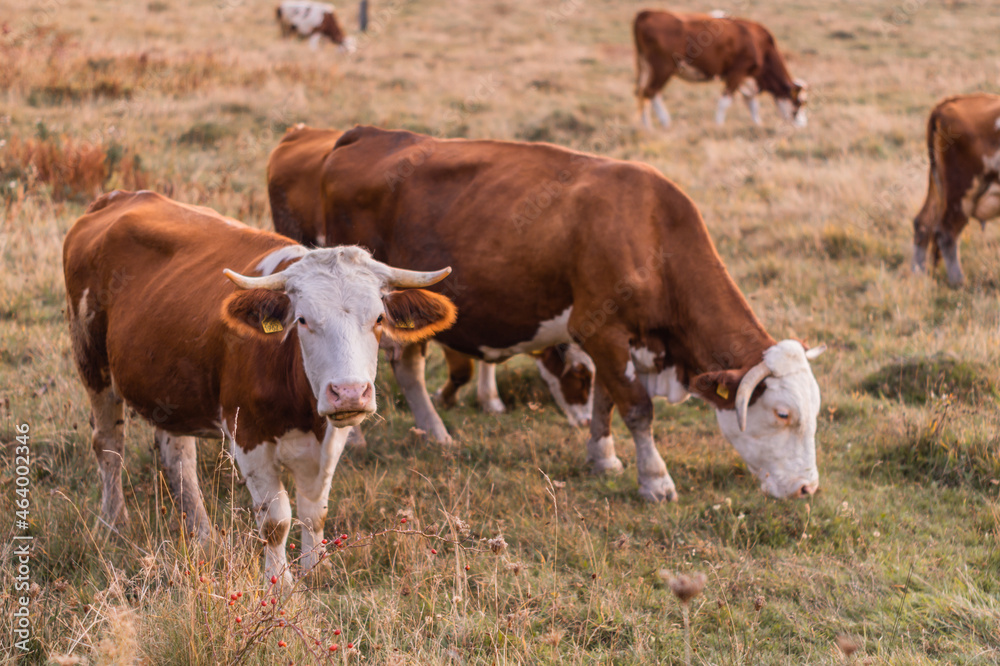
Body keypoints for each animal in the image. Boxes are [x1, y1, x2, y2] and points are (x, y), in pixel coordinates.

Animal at [67, 188, 460, 580]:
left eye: (379, 318)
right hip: (92, 364)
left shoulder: (331, 440)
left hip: (170, 387)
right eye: (302, 320)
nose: (349, 393)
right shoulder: (248, 436)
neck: (303, 409)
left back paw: (202, 535)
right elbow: (276, 521)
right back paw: (113, 523)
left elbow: (314, 512)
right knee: (108, 445)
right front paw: (279, 583)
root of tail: (120, 197)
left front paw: (314, 571)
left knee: (178, 457)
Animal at [636, 9, 808, 127]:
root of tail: (649, 12)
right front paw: (718, 125)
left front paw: (757, 124)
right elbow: (725, 102)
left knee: (642, 93)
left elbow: (752, 105)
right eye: (799, 103)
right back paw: (662, 123)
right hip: (663, 67)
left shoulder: (747, 79)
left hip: (646, 67)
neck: (760, 45)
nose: (802, 125)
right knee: (651, 92)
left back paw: (646, 127)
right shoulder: (737, 73)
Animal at [912, 91, 1000, 286]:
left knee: (923, 223)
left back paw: (919, 275)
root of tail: (947, 104)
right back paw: (959, 282)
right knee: (946, 231)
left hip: (938, 186)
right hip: (961, 191)